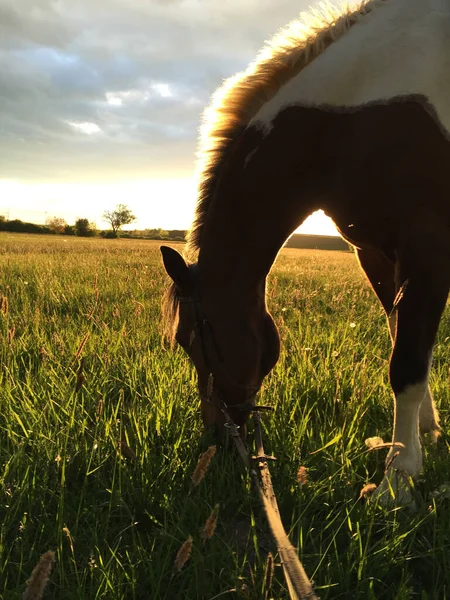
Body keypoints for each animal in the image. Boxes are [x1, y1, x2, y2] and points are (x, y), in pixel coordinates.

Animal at [162, 0, 450, 504]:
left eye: (193, 341)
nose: (218, 439)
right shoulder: (377, 254)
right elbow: (404, 338)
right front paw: (427, 435)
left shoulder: (428, 249)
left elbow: (407, 364)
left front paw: (397, 480)